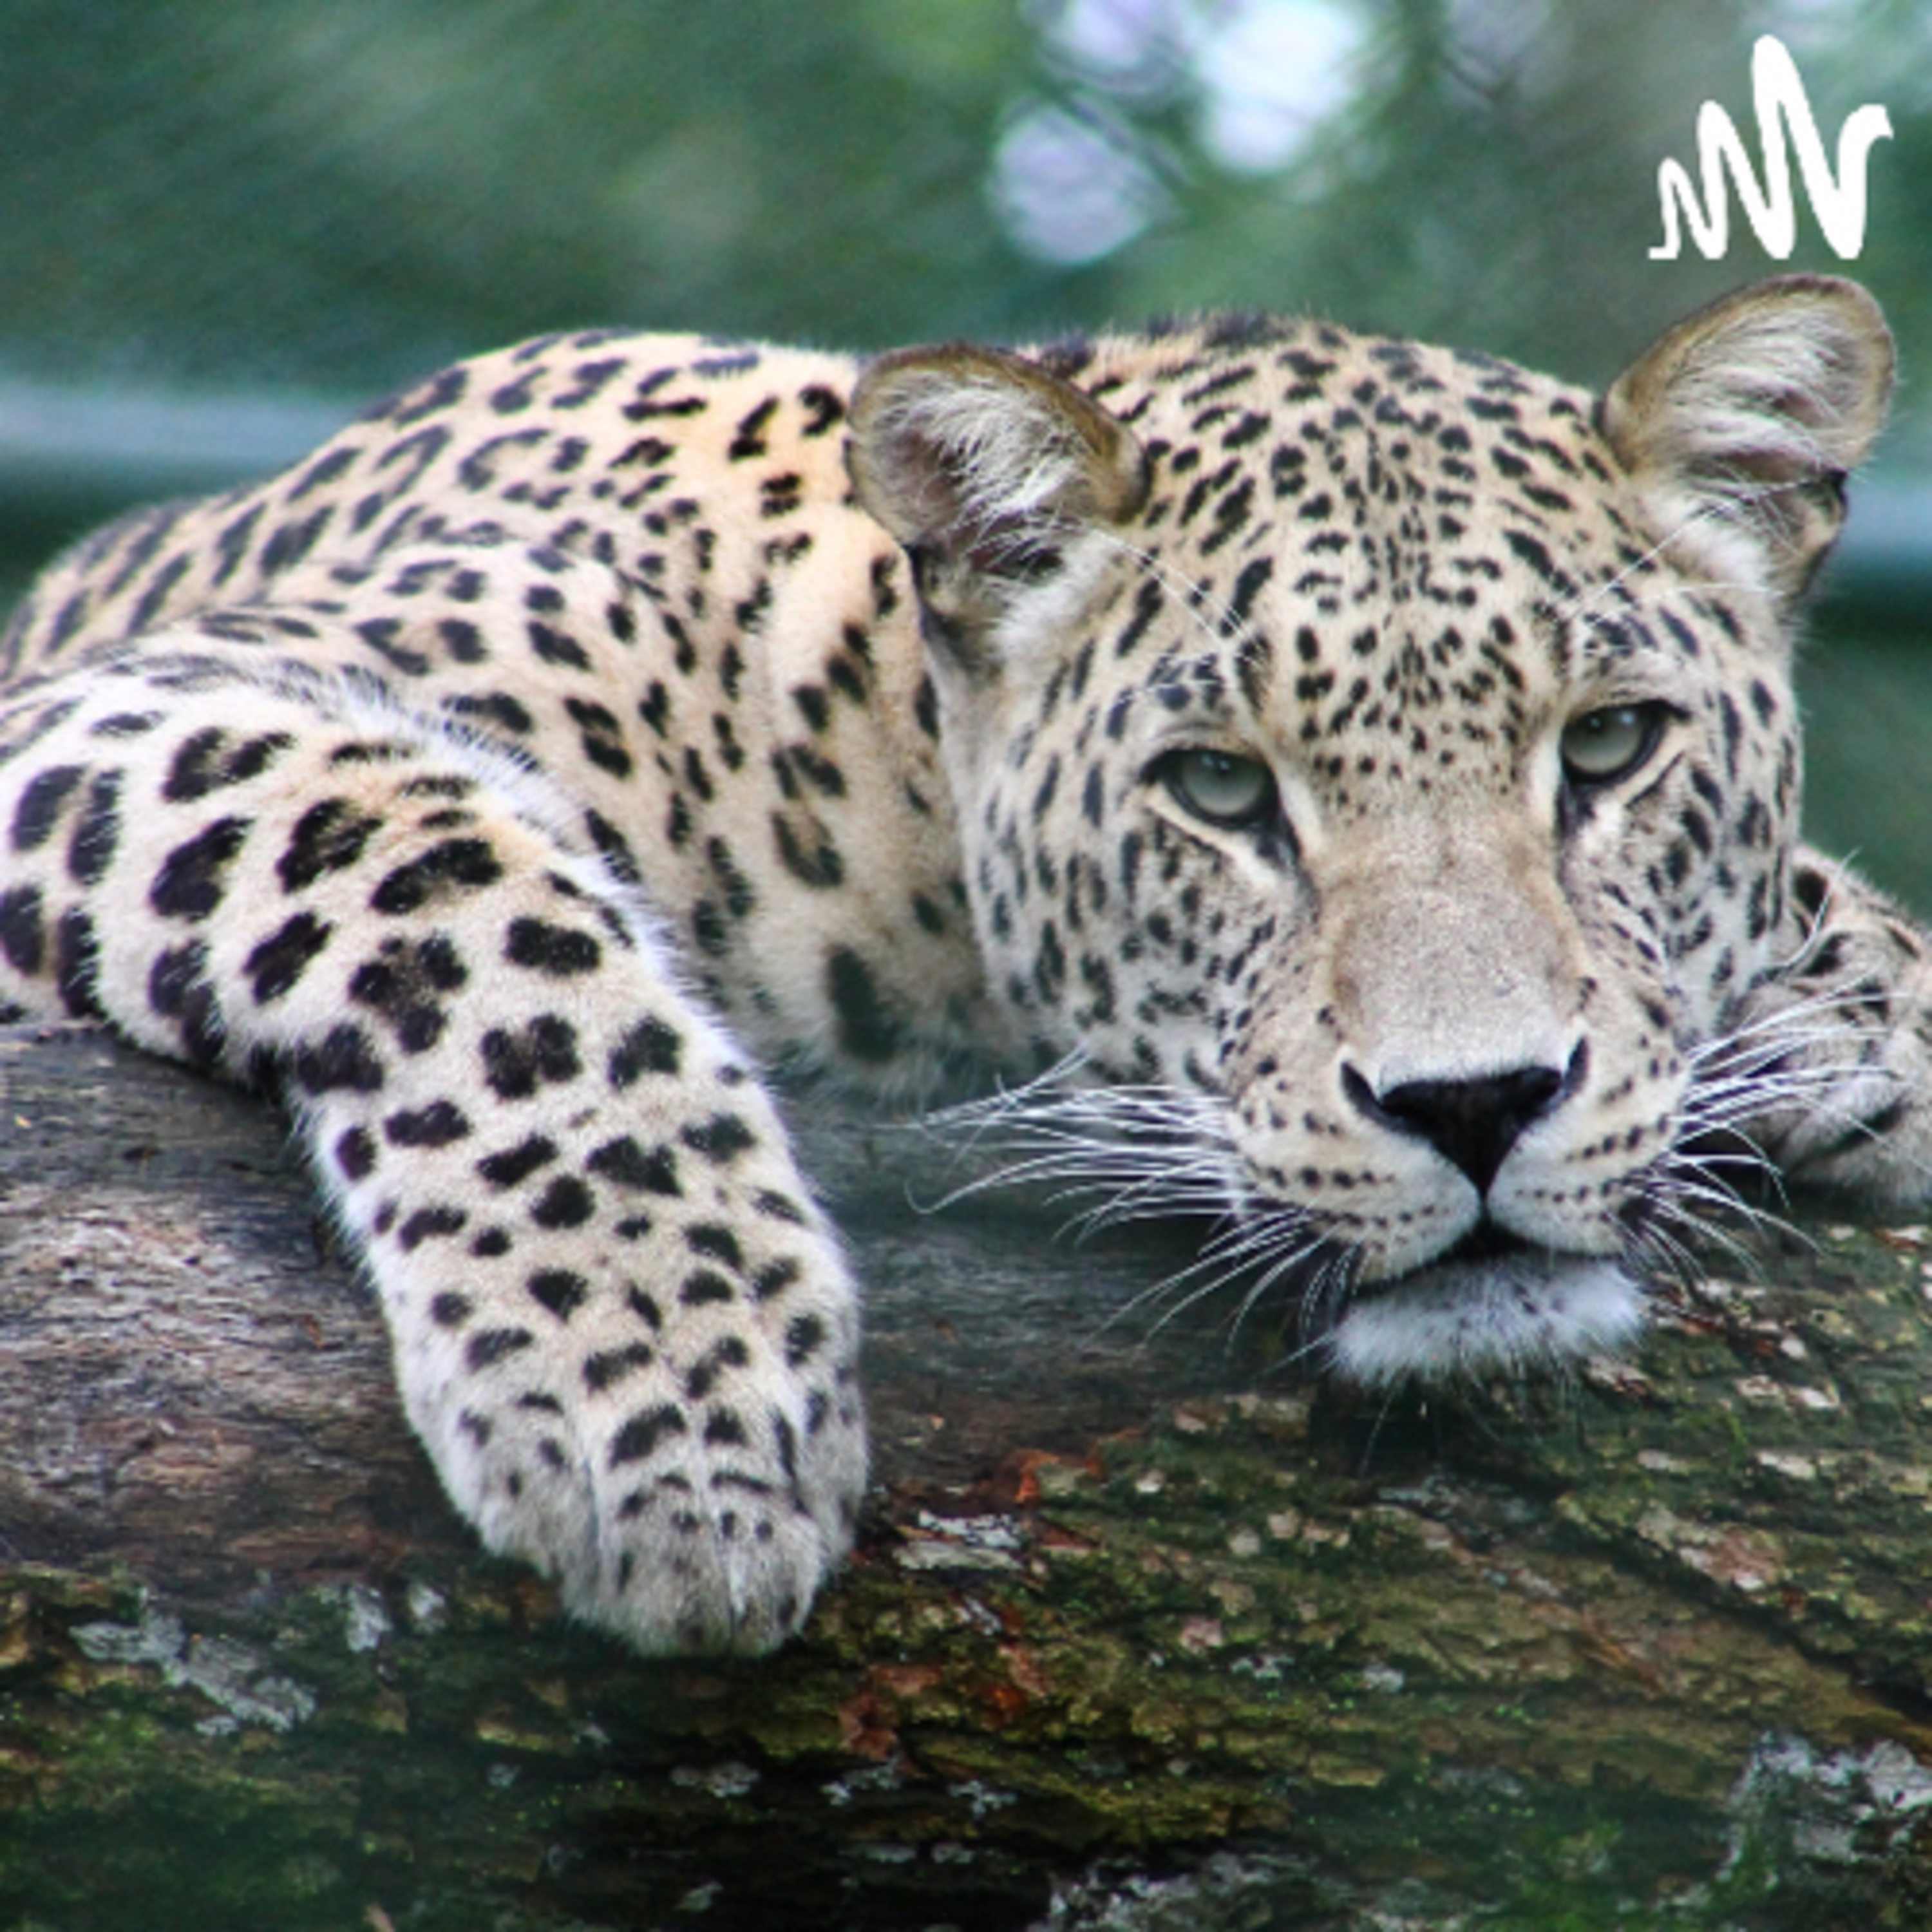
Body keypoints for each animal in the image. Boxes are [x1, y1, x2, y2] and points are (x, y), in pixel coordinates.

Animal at [1, 272, 1925, 1657]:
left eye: (1607, 748)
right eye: (1219, 789)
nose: (1479, 1105)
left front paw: (1865, 1014)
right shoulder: (146, 703)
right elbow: (462, 889)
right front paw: (671, 1394)